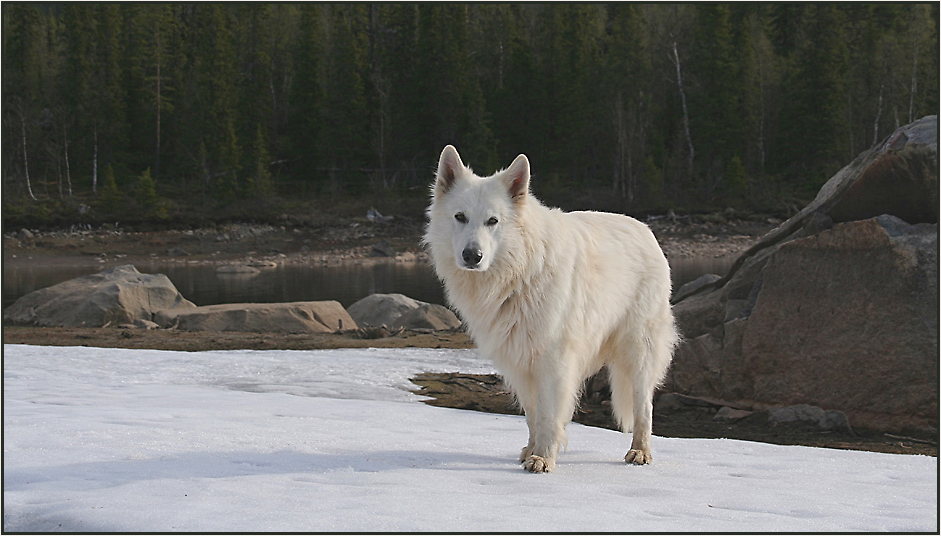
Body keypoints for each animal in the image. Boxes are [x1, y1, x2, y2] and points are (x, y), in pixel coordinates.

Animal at [424, 144, 676, 472]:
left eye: (493, 221)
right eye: (460, 217)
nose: (472, 256)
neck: (517, 274)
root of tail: (644, 228)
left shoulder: (553, 359)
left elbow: (547, 414)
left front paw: (543, 457)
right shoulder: (519, 360)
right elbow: (533, 414)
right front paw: (532, 449)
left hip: (638, 349)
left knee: (643, 405)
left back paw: (640, 451)